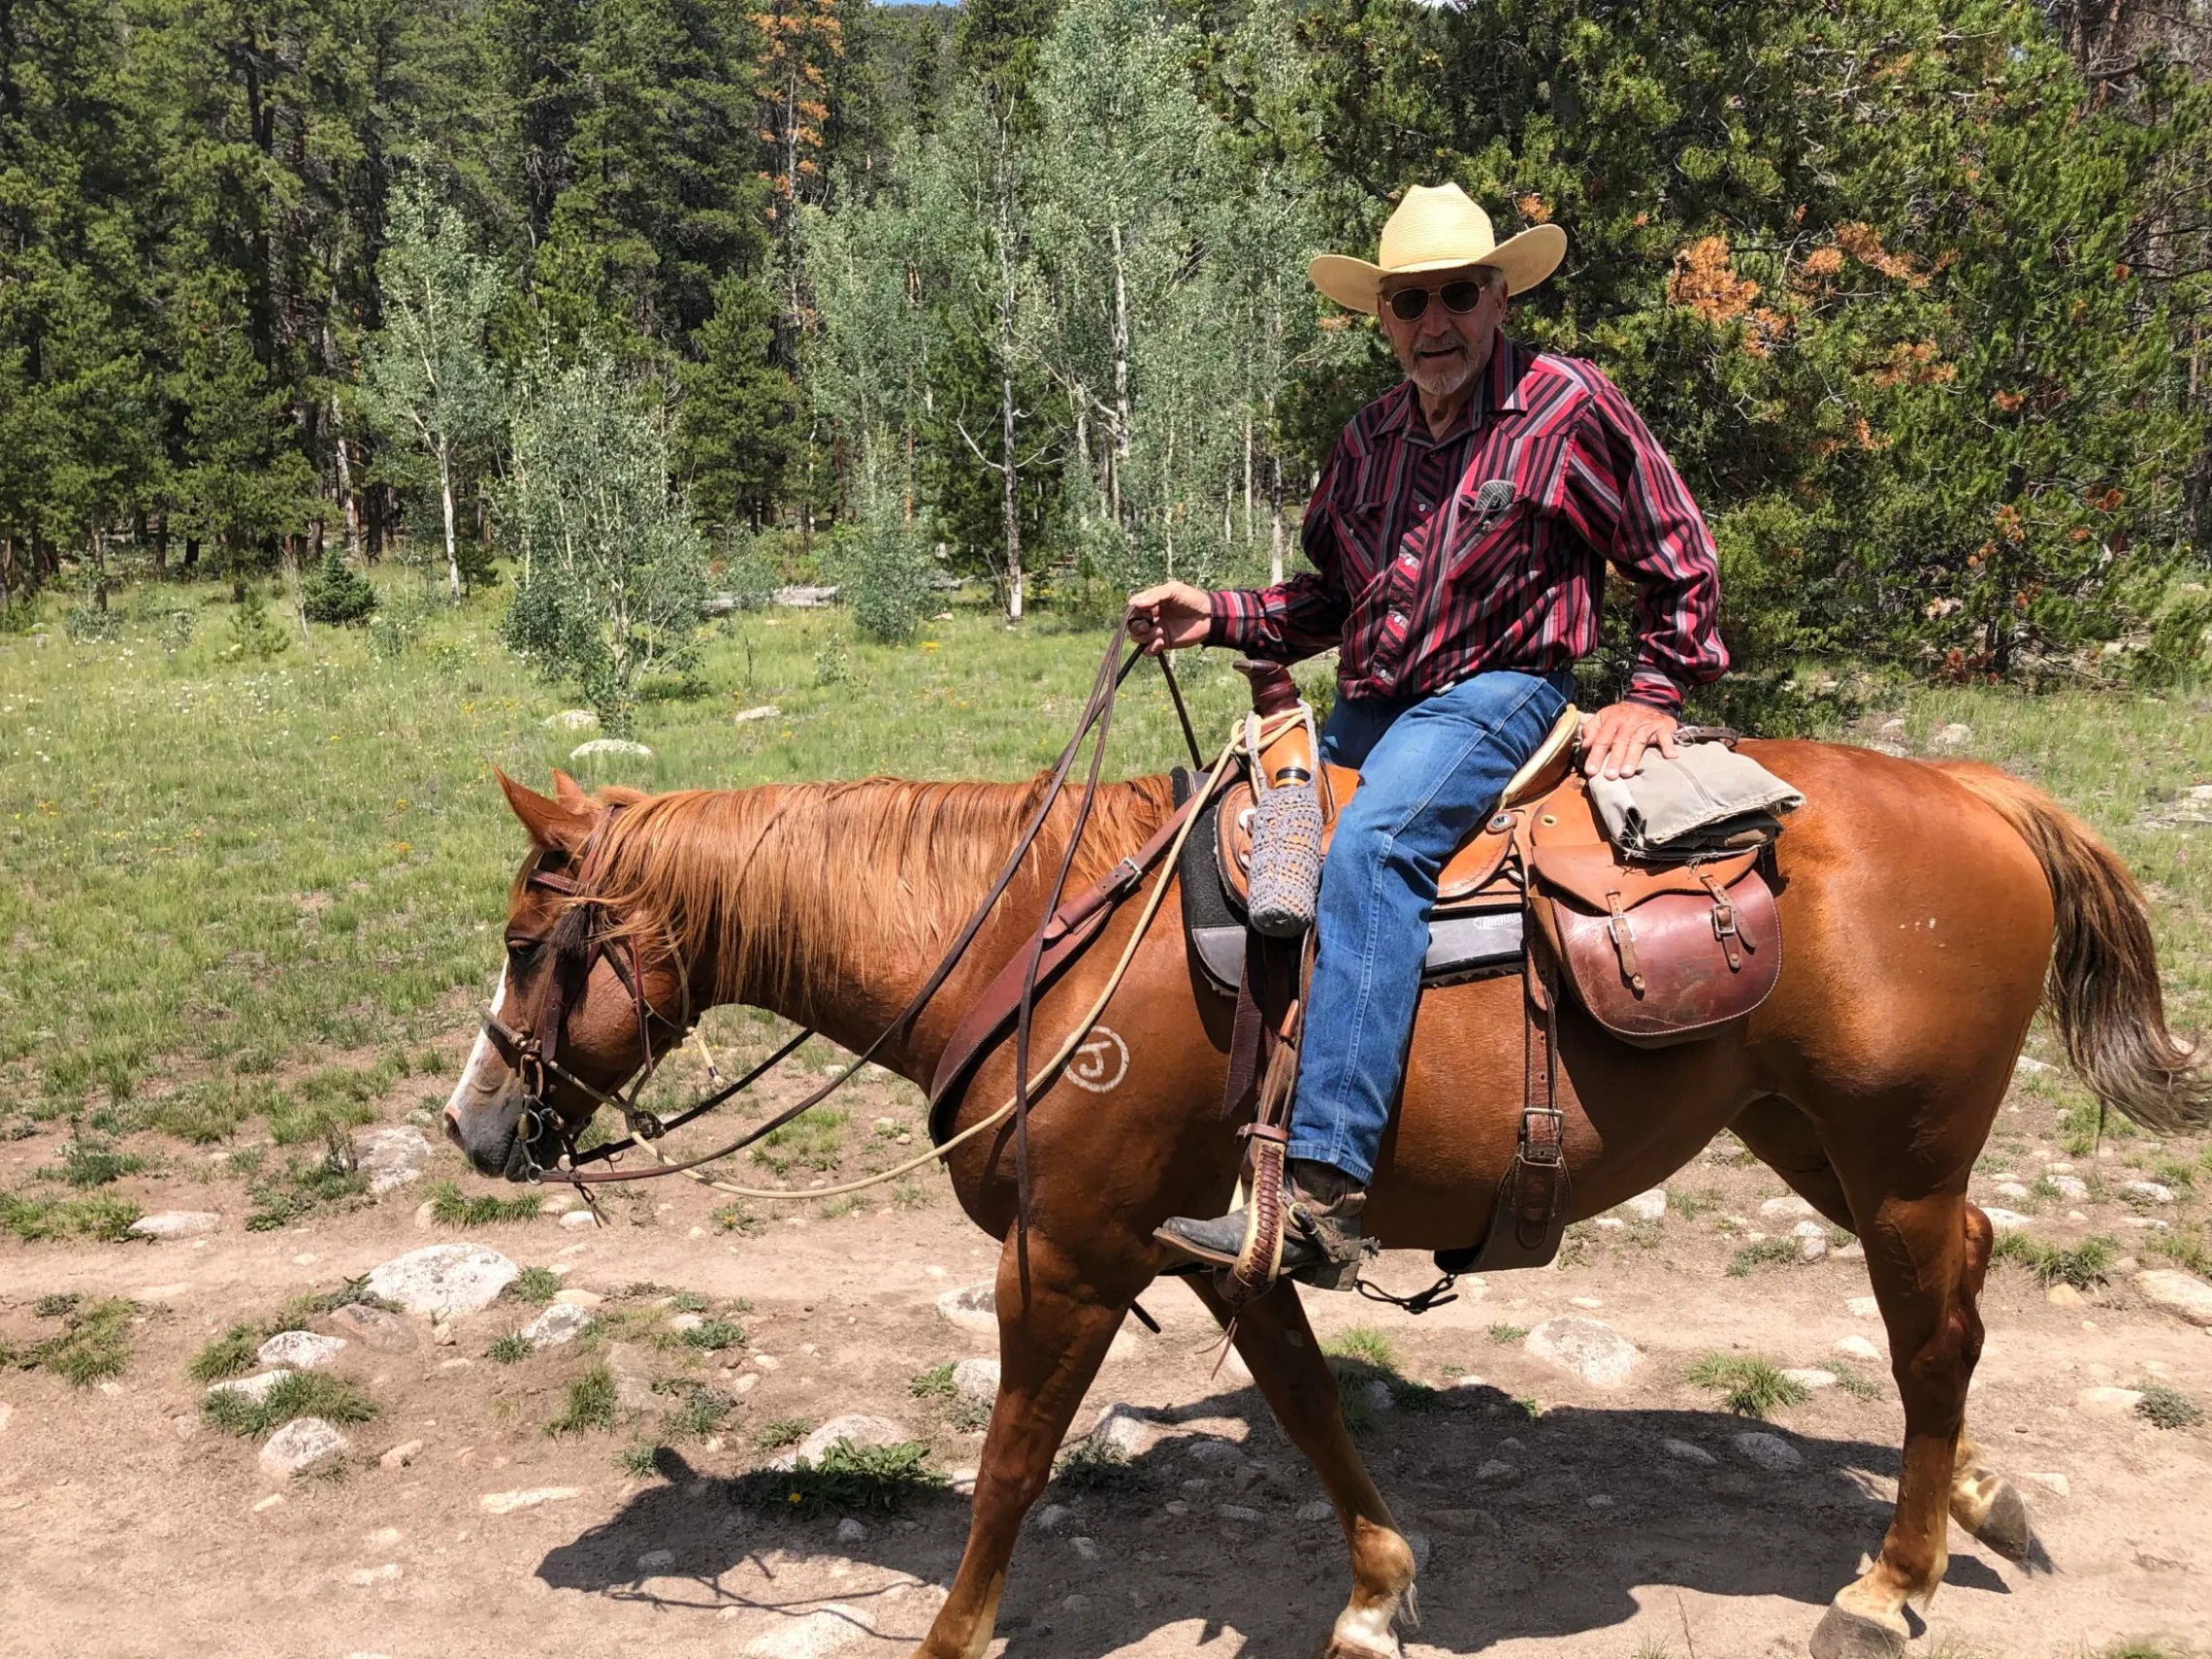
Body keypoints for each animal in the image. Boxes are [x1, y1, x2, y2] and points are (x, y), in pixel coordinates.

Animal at [444, 742, 2205, 1659]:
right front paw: (1376, 1589)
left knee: (1932, 1336)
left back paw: (1891, 1583)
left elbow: (1012, 1463)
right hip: (1809, 1139)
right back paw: (1977, 1504)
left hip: (1892, 1155)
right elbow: (1303, 1400)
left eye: (532, 944)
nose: (472, 1127)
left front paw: (953, 1636)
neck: (1030, 937)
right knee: (1961, 1286)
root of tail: (1978, 791)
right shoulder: (1210, 1241)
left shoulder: (1066, 1255)